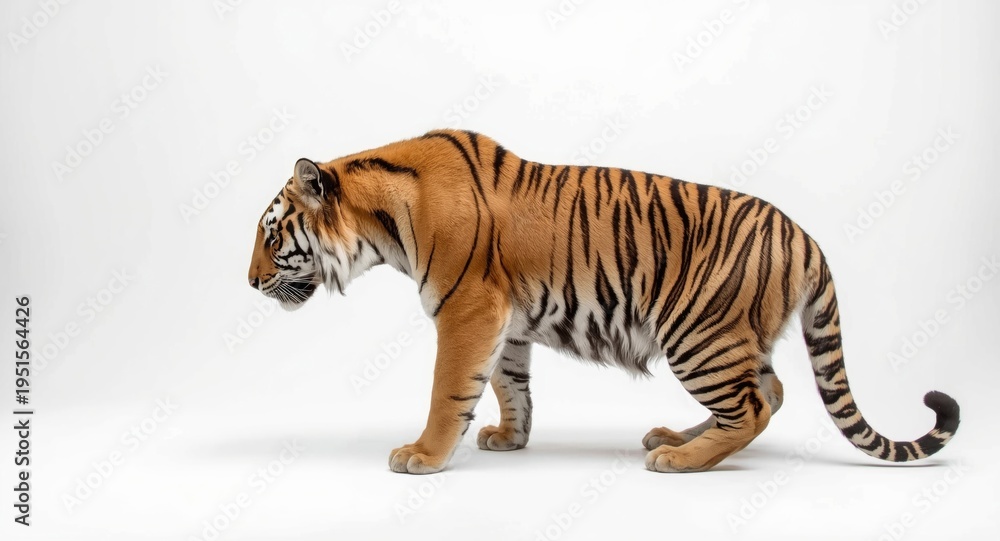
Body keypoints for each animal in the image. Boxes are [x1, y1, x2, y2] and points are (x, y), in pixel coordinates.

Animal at [247, 129, 959, 474]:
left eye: (272, 235)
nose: (250, 283)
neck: (384, 225)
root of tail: (807, 239)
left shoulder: (466, 312)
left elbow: (449, 390)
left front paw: (423, 455)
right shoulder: (505, 323)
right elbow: (509, 385)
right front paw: (511, 437)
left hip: (698, 332)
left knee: (755, 405)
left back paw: (678, 459)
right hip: (730, 336)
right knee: (770, 392)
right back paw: (676, 435)